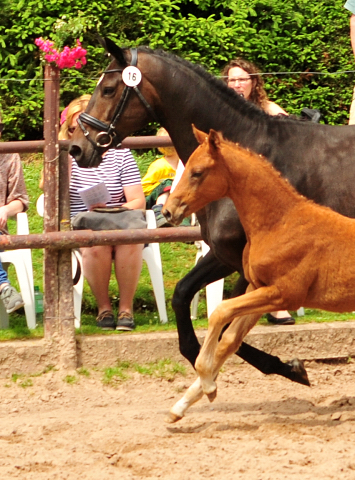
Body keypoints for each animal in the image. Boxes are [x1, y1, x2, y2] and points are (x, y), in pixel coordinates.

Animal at [69, 37, 355, 382]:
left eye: (109, 89)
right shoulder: (224, 255)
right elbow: (185, 297)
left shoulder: (247, 264)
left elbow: (228, 317)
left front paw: (285, 367)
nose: (78, 148)